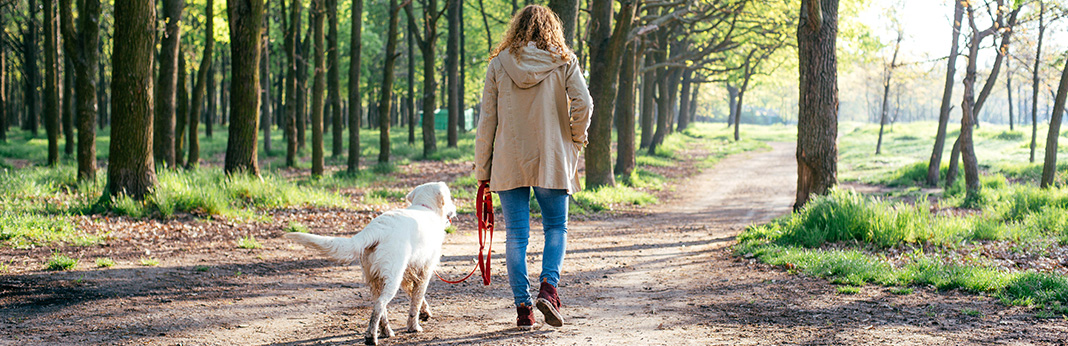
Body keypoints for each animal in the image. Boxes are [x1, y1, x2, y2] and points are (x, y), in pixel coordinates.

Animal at [284, 182, 454, 343]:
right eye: (450, 197)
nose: (454, 208)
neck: (426, 207)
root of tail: (375, 229)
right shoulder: (425, 270)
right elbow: (416, 301)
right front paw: (414, 326)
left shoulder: (408, 273)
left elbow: (414, 295)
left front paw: (425, 313)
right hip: (392, 277)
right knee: (379, 306)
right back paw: (371, 337)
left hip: (375, 278)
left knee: (380, 307)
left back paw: (386, 332)